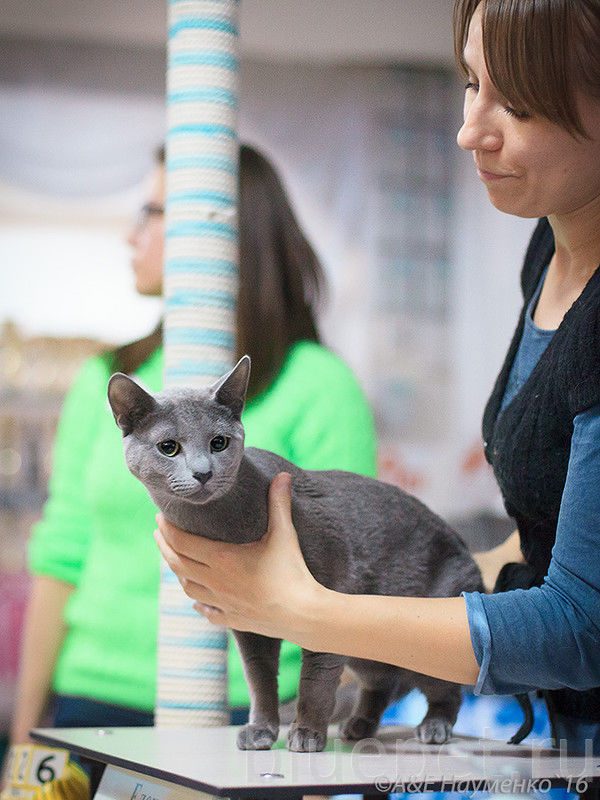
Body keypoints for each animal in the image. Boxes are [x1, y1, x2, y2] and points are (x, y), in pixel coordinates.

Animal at [106, 356, 482, 752]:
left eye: (219, 442)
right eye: (169, 447)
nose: (203, 472)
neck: (222, 525)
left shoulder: (331, 595)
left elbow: (315, 680)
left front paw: (308, 733)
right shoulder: (250, 627)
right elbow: (259, 678)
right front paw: (261, 730)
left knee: (446, 691)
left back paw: (434, 726)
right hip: (370, 650)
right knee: (382, 683)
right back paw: (358, 726)